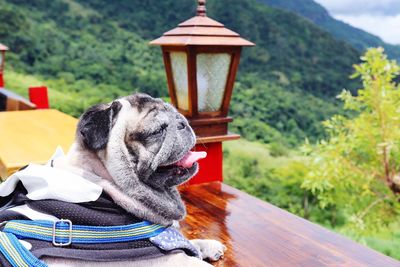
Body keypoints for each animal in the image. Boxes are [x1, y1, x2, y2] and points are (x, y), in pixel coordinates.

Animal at [39, 93, 228, 266]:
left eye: (176, 115)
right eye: (158, 130)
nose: (182, 123)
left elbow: (188, 242)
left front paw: (207, 245)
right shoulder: (170, 259)